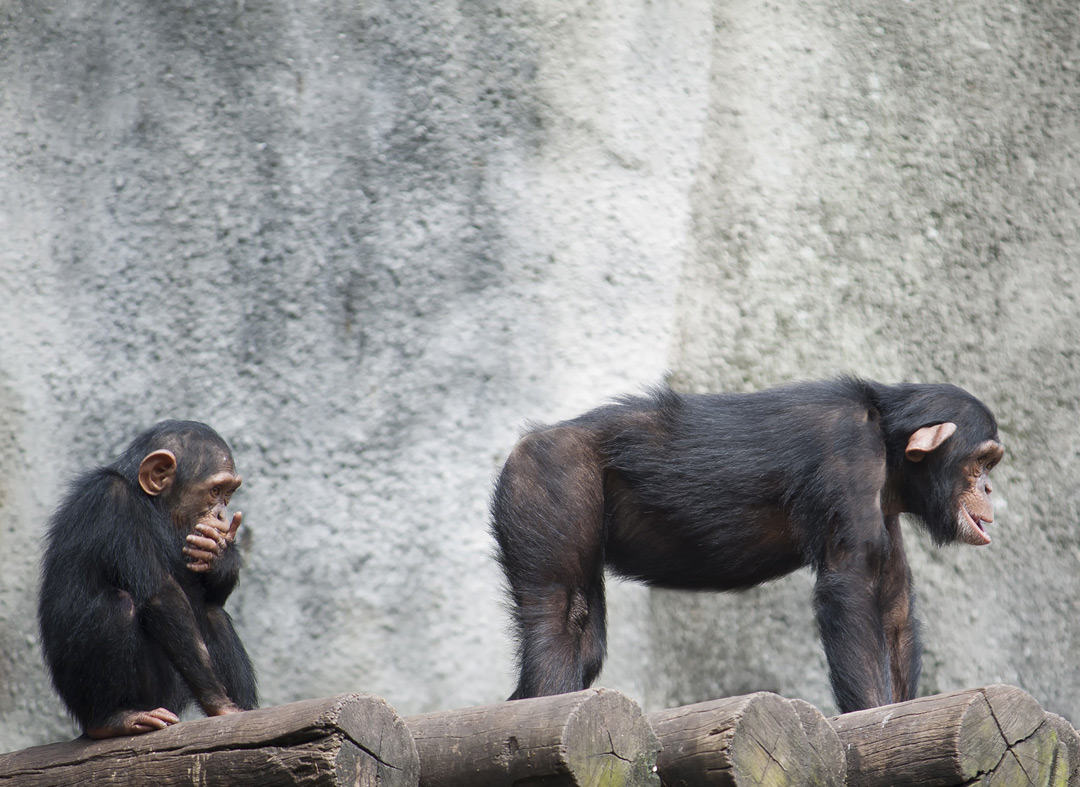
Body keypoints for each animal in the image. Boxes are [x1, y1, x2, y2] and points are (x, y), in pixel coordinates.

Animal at [37, 421, 257, 738]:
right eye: (215, 491)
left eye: (228, 493)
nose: (221, 515)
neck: (148, 504)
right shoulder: (114, 503)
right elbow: (162, 596)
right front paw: (221, 705)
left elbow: (212, 595)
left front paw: (219, 553)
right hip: (106, 697)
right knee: (116, 605)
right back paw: (111, 719)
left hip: (170, 697)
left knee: (213, 611)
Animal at [494, 377, 1006, 716]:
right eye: (981, 461)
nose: (989, 488)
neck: (887, 436)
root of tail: (525, 442)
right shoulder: (850, 458)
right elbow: (851, 588)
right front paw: (871, 713)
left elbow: (895, 604)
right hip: (550, 478)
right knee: (563, 615)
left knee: (586, 642)